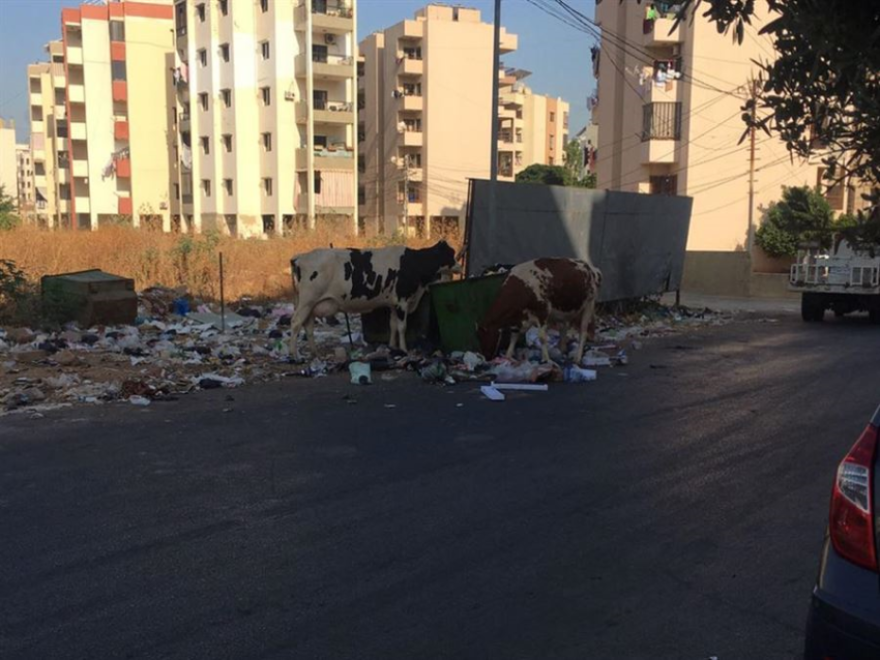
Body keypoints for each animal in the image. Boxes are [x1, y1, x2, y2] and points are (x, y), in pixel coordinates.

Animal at [290, 240, 460, 358]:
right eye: (451, 253)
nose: (459, 266)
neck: (414, 263)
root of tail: (300, 257)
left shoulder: (393, 303)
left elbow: (392, 325)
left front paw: (392, 347)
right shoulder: (402, 301)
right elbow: (402, 327)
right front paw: (404, 349)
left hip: (310, 305)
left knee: (308, 326)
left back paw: (315, 353)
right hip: (307, 301)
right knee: (296, 323)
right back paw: (294, 355)